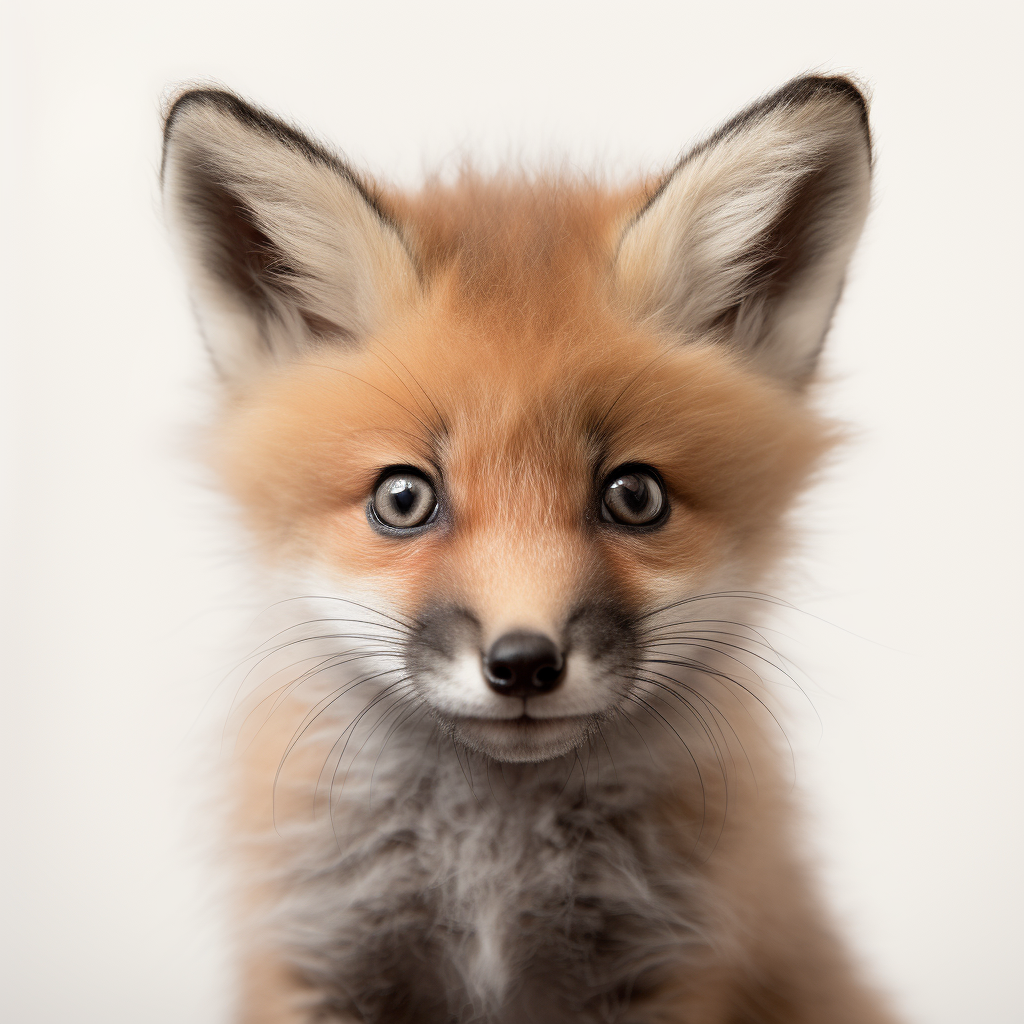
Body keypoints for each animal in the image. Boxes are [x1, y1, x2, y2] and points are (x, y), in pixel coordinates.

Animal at [163, 75, 901, 1019]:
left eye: (634, 496)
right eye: (403, 499)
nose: (522, 663)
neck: (491, 869)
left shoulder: (671, 969)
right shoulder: (317, 960)